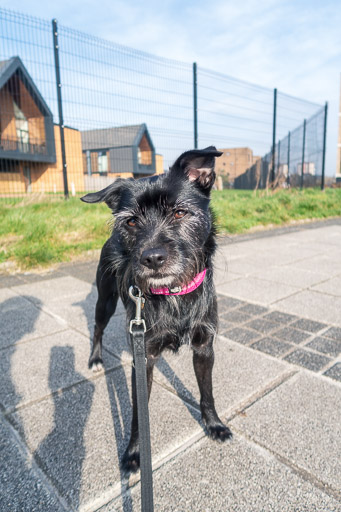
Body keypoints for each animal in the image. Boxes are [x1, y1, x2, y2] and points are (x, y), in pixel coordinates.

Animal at [81, 146, 232, 474]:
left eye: (179, 212)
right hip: (105, 300)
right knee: (97, 328)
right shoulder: (144, 358)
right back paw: (95, 359)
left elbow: (207, 392)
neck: (173, 293)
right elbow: (139, 415)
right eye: (131, 222)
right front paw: (135, 452)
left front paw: (213, 424)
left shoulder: (205, 347)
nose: (151, 258)